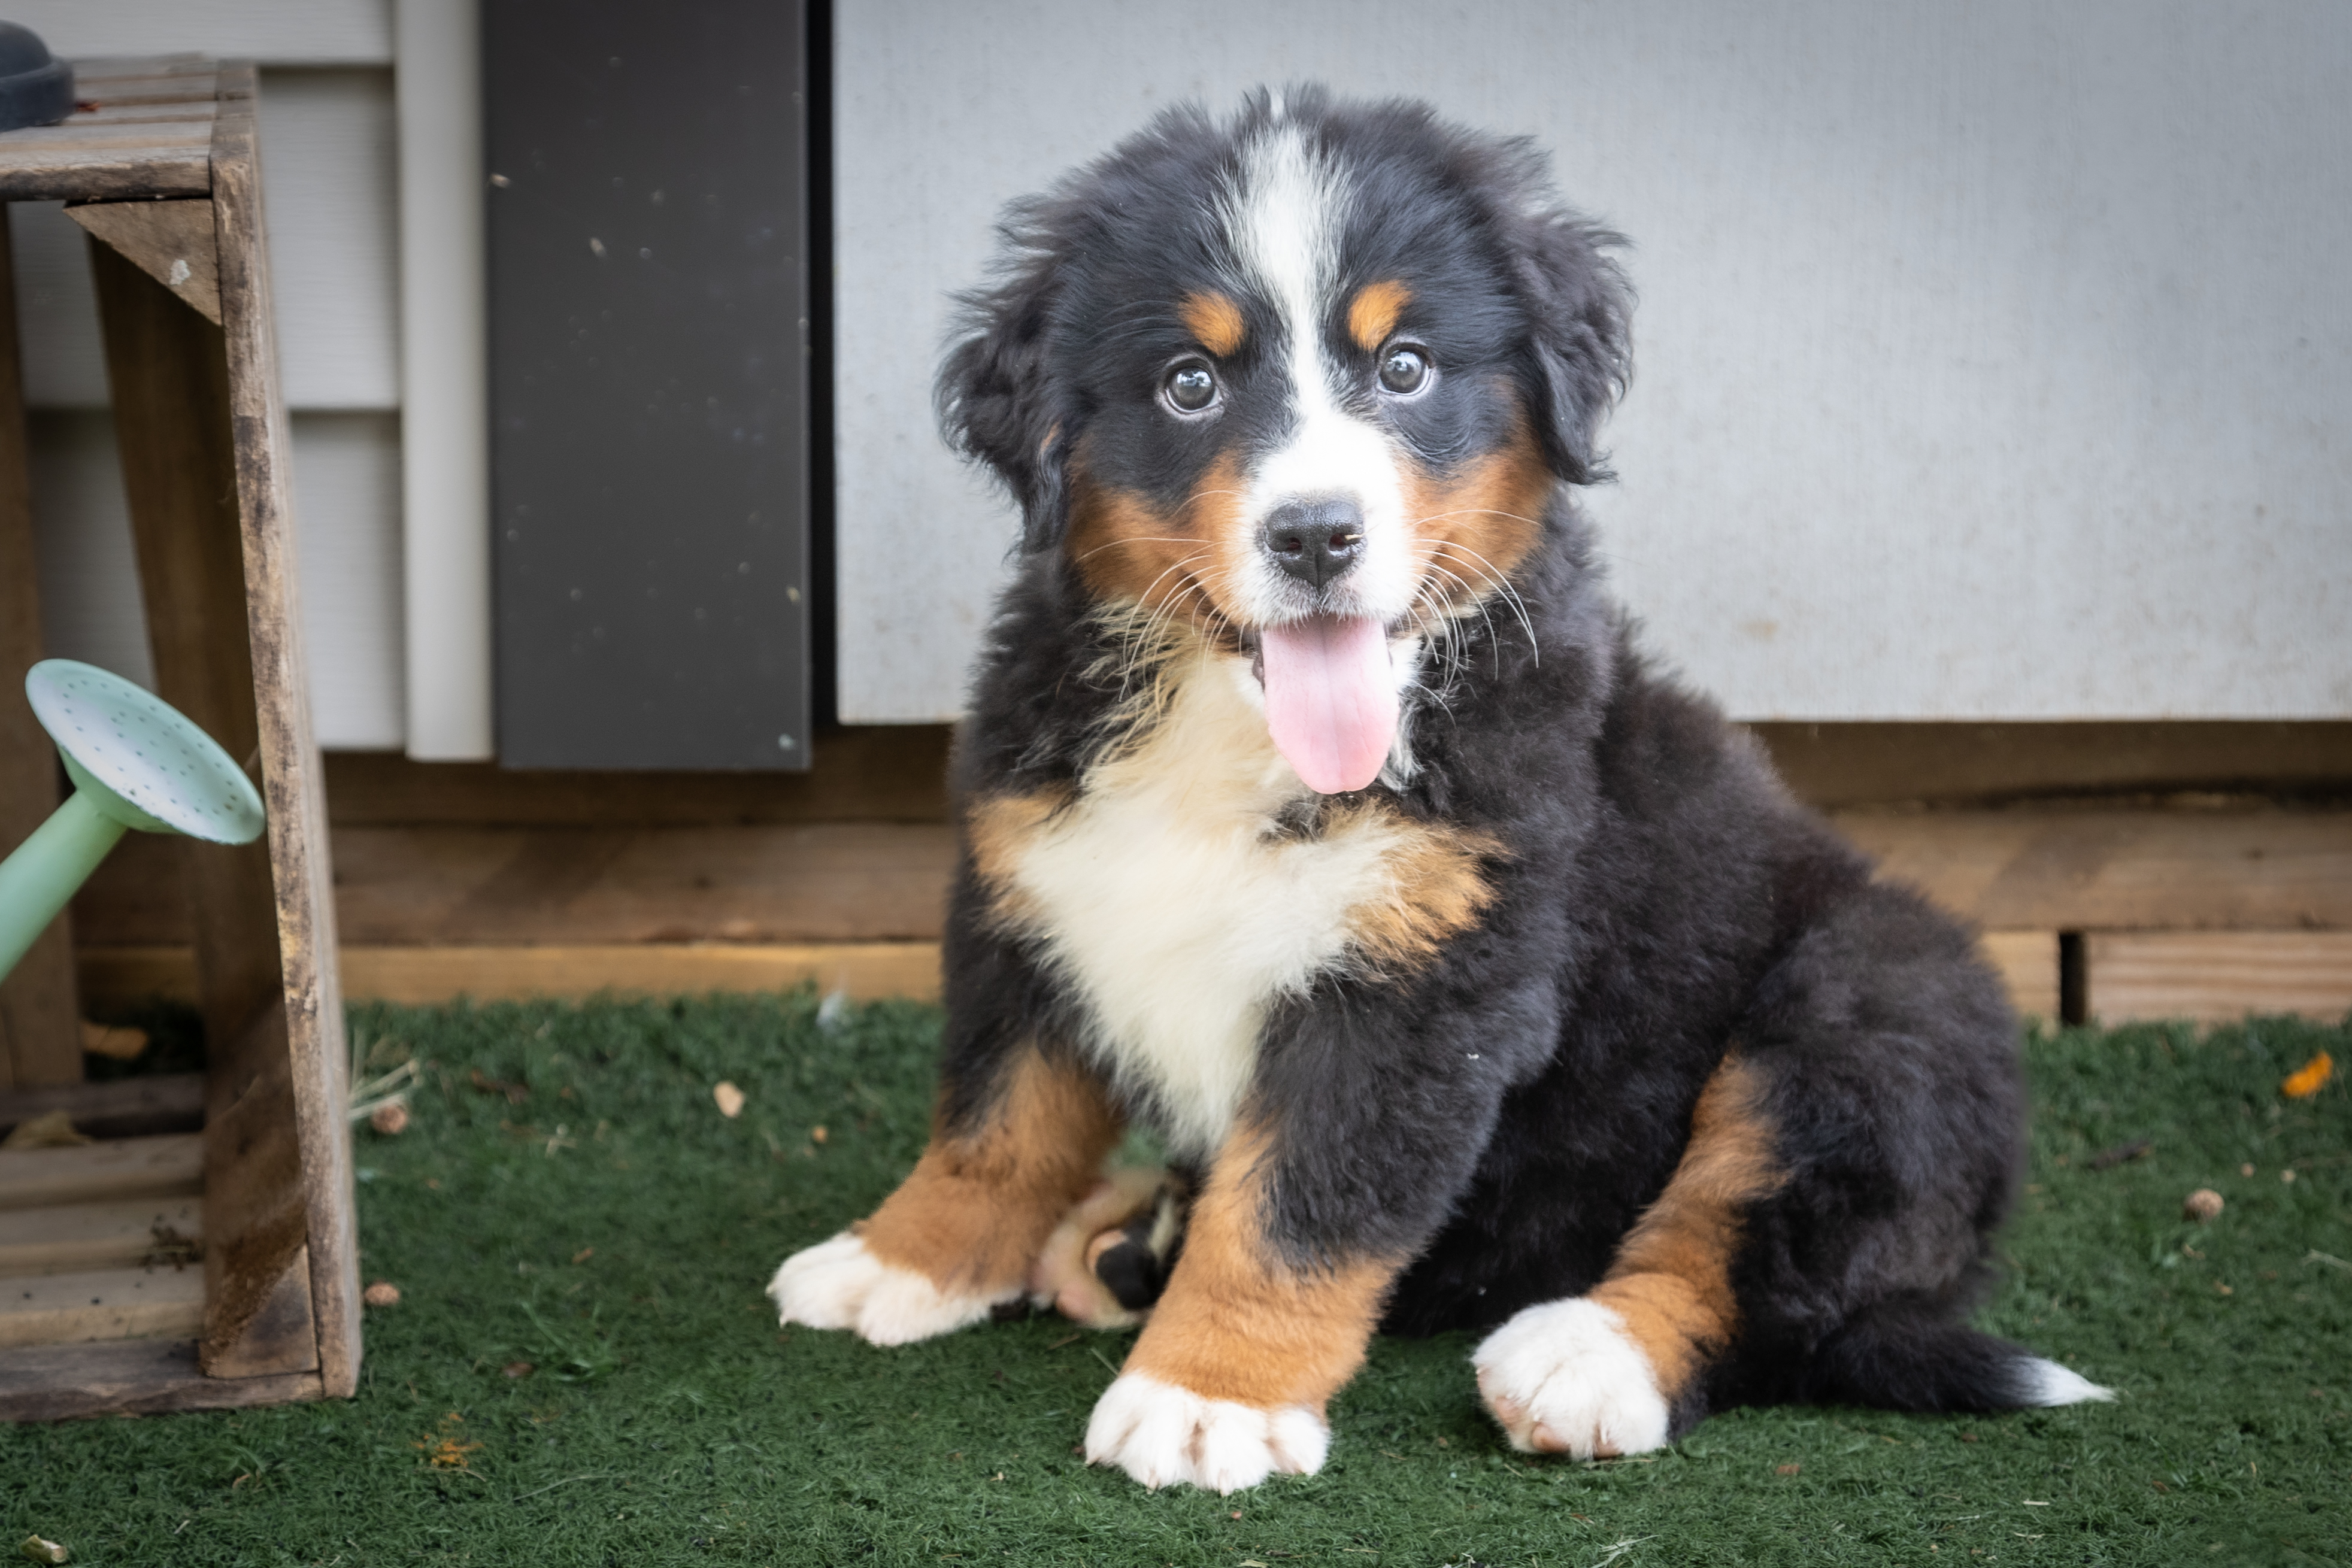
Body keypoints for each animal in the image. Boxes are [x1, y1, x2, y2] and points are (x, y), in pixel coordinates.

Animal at [776, 86, 2117, 1495]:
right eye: (1190, 384)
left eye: (1405, 367)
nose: (1316, 533)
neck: (1225, 730)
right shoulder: (1033, 889)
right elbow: (997, 1115)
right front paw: (902, 1259)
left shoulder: (1423, 987)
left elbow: (1293, 1208)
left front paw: (1208, 1395)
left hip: (1870, 1007)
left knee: (1758, 1244)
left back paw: (1586, 1358)